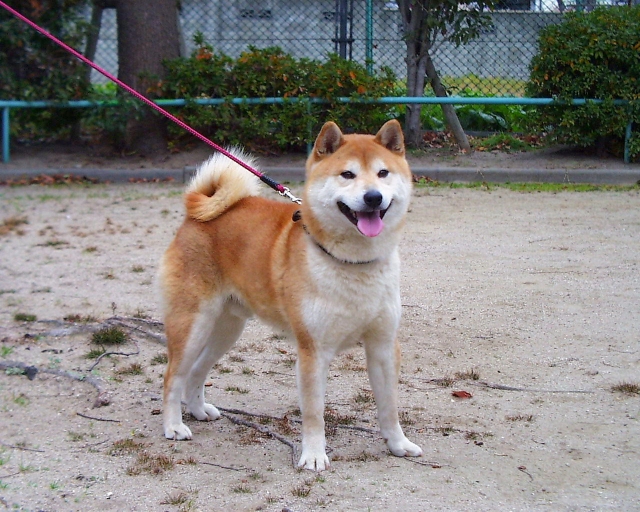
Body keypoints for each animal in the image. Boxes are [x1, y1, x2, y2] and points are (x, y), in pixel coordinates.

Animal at [159, 120, 420, 472]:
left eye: (382, 173)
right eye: (347, 174)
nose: (373, 197)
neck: (353, 263)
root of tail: (196, 215)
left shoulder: (383, 345)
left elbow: (389, 405)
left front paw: (398, 444)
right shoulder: (313, 351)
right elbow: (314, 413)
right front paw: (313, 455)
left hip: (226, 329)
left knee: (197, 371)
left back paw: (199, 411)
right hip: (192, 324)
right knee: (172, 376)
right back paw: (174, 425)